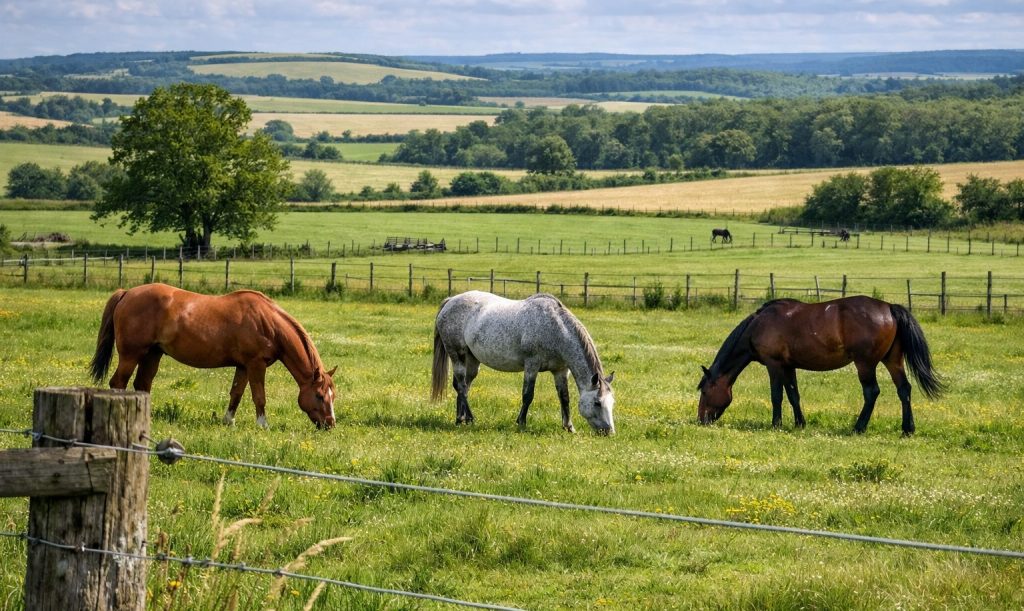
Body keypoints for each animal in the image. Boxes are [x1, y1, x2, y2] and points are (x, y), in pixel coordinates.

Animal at [90, 283, 337, 429]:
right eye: (319, 396)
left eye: (333, 396)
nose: (330, 423)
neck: (269, 323)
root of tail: (127, 293)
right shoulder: (256, 365)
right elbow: (259, 396)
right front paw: (262, 425)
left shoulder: (244, 366)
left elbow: (236, 393)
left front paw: (229, 421)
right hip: (131, 355)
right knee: (118, 382)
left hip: (153, 354)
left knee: (142, 384)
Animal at [431, 291, 616, 434]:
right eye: (597, 403)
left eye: (612, 402)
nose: (609, 432)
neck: (555, 330)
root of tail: (450, 301)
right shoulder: (531, 365)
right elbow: (528, 395)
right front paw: (521, 423)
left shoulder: (560, 371)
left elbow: (564, 398)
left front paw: (569, 427)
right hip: (457, 355)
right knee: (461, 386)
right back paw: (469, 418)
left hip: (472, 360)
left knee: (463, 386)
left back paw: (459, 419)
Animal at [697, 296, 943, 435]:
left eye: (705, 391)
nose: (701, 420)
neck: (759, 325)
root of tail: (889, 307)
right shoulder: (789, 367)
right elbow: (793, 395)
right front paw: (799, 423)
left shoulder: (774, 365)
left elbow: (776, 396)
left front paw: (776, 424)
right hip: (892, 361)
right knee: (904, 390)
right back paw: (907, 429)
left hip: (865, 364)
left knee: (872, 392)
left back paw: (858, 428)